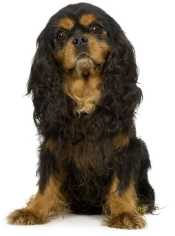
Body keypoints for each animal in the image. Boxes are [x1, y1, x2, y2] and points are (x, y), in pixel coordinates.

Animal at [7, 3, 155, 229]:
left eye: (95, 28)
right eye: (60, 35)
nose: (79, 39)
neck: (85, 98)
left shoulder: (124, 147)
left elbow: (121, 185)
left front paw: (124, 213)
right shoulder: (52, 147)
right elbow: (46, 182)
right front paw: (33, 210)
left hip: (142, 148)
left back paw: (140, 204)